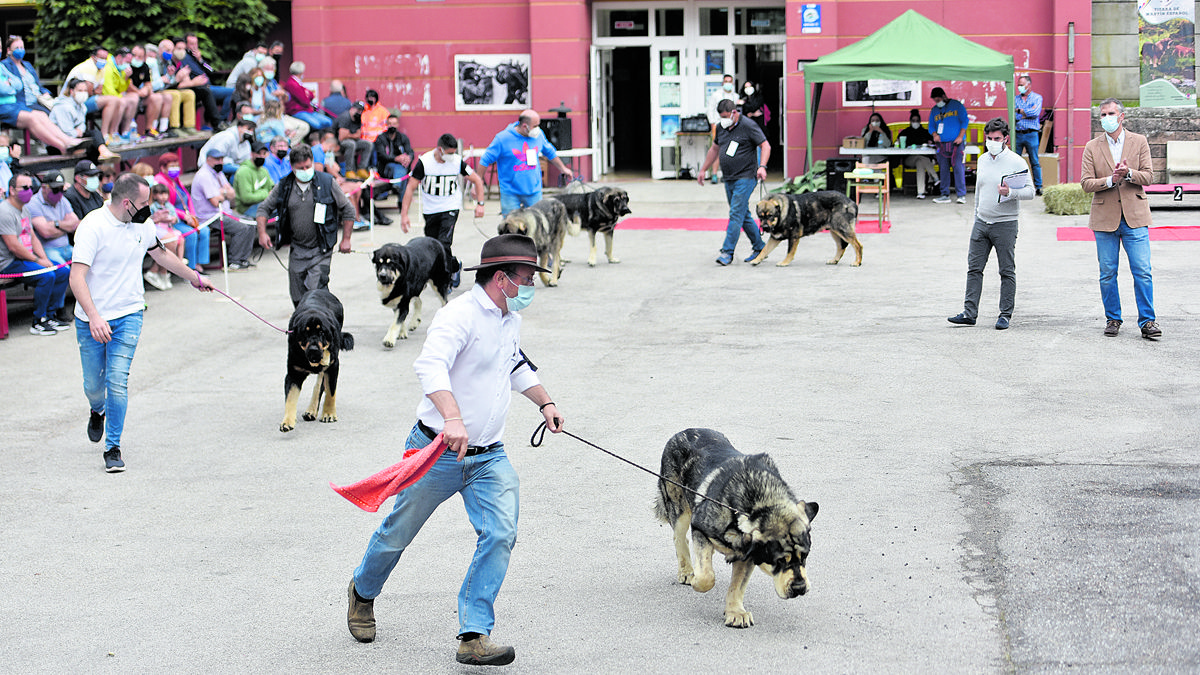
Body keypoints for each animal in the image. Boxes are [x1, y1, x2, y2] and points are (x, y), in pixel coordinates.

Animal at [282, 288, 352, 429]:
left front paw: (329, 414)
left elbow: (331, 392)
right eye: (305, 332)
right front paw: (287, 421)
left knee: (320, 384)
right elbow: (290, 398)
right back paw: (311, 411)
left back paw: (312, 409)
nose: (314, 349)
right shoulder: (293, 374)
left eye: (322, 332)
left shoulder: (333, 367)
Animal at [657, 425, 816, 624]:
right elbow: (706, 576)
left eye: (805, 556)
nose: (800, 588)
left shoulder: (748, 555)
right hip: (679, 507)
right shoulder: (700, 528)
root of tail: (685, 430)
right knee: (679, 538)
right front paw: (697, 581)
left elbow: (737, 586)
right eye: (779, 561)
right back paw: (686, 571)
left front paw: (735, 612)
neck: (758, 504)